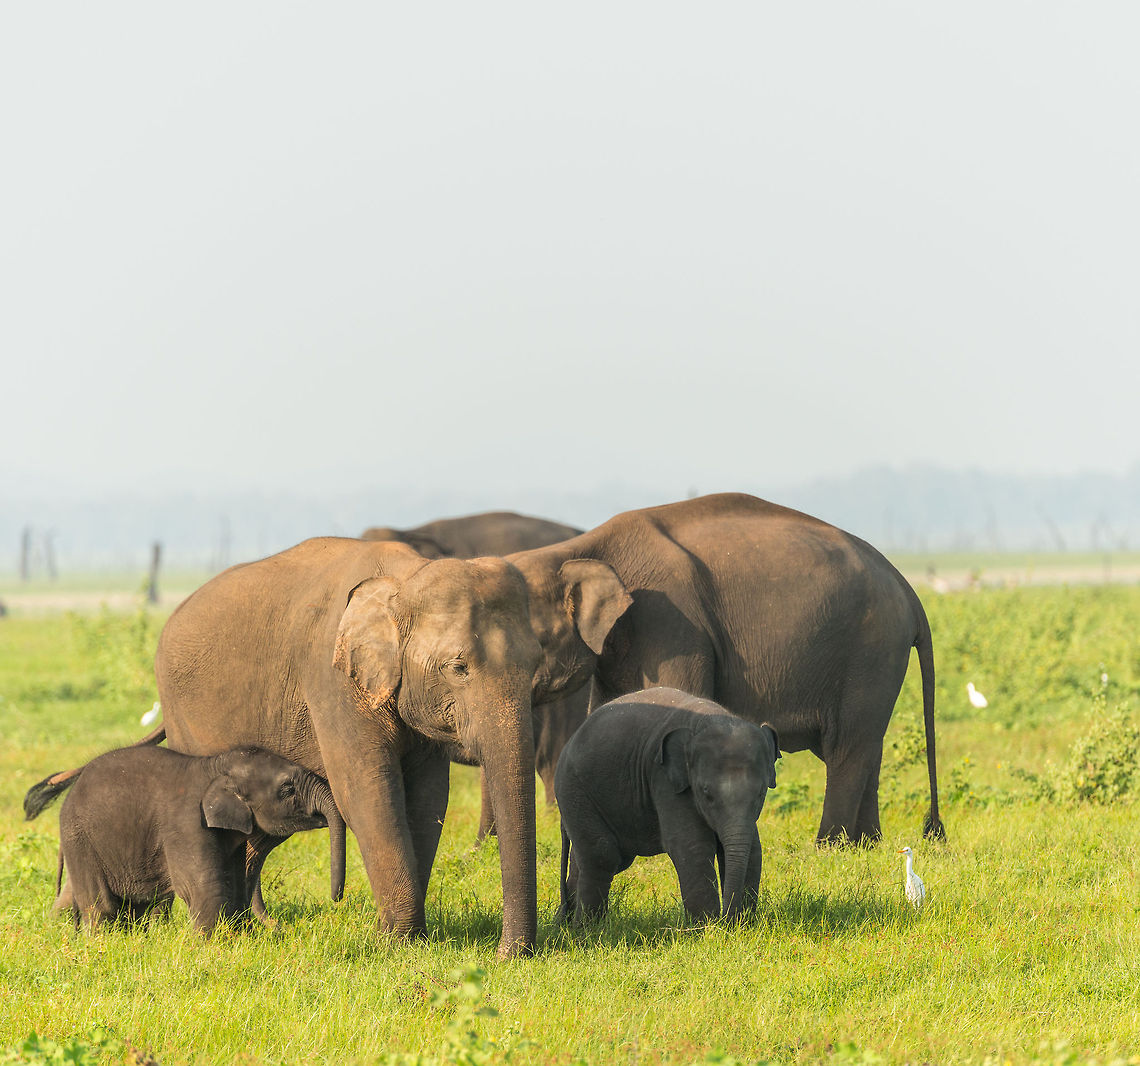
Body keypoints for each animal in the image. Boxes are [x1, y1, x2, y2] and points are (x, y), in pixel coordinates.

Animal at [53, 745, 345, 932]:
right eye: (287, 788)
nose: (336, 898)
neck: (213, 765)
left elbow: (234, 879)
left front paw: (237, 935)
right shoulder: (185, 823)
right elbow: (199, 884)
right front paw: (213, 947)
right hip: (79, 839)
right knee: (100, 905)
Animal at [508, 492, 944, 846]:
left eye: (533, 646)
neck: (581, 548)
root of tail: (907, 587)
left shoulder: (672, 625)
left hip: (871, 650)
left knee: (847, 747)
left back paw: (829, 848)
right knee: (867, 746)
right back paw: (866, 846)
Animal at [556, 687, 779, 924]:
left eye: (761, 793)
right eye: (706, 793)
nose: (727, 920)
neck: (708, 718)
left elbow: (753, 849)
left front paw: (741, 923)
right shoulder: (664, 779)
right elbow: (692, 845)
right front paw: (706, 927)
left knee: (601, 858)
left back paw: (563, 924)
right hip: (574, 790)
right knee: (602, 855)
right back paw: (586, 928)